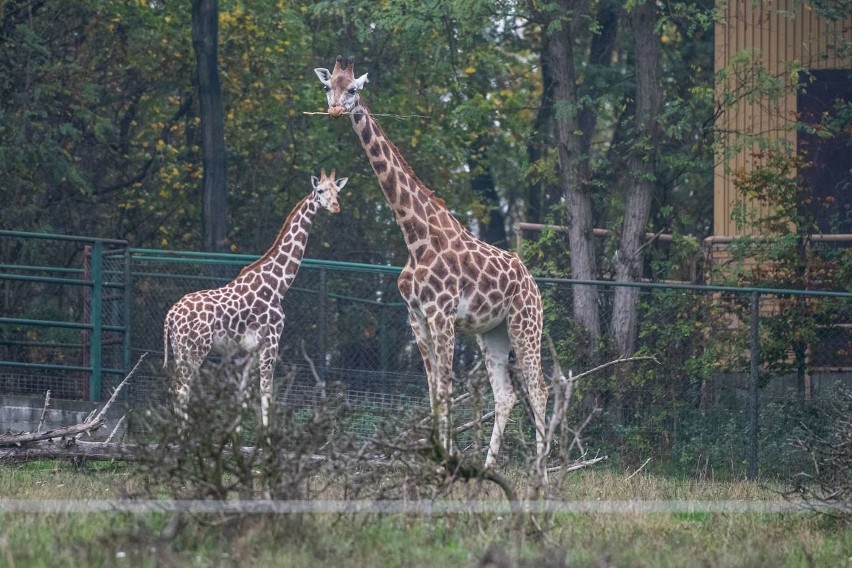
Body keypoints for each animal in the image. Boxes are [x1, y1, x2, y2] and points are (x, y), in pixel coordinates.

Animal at [163, 171, 350, 428]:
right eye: (320, 190)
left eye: (337, 191)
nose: (335, 206)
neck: (278, 285)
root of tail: (170, 316)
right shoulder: (271, 340)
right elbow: (266, 392)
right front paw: (266, 433)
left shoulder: (249, 349)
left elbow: (244, 395)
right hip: (196, 347)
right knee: (183, 389)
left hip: (179, 348)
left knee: (177, 388)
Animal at [316, 55, 548, 468]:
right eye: (329, 87)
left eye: (353, 88)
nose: (336, 110)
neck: (416, 238)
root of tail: (533, 283)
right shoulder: (417, 317)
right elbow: (431, 390)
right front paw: (437, 460)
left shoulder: (442, 315)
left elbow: (444, 388)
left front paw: (448, 462)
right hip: (493, 332)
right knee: (506, 394)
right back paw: (488, 468)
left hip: (526, 324)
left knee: (539, 390)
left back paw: (545, 472)